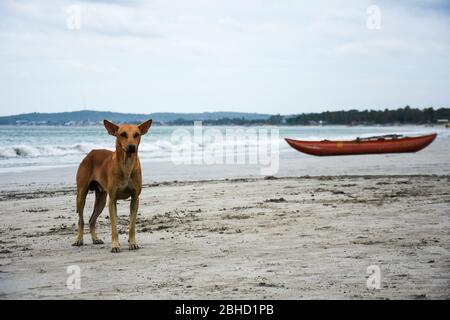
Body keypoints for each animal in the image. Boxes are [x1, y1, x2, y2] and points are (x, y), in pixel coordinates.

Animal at [73, 119, 152, 251]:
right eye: (123, 134)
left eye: (137, 134)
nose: (132, 147)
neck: (126, 165)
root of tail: (91, 152)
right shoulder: (112, 199)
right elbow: (114, 226)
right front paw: (115, 245)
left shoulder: (135, 198)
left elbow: (132, 226)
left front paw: (132, 242)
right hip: (81, 194)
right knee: (81, 219)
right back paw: (79, 239)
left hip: (101, 200)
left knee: (91, 220)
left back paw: (95, 238)